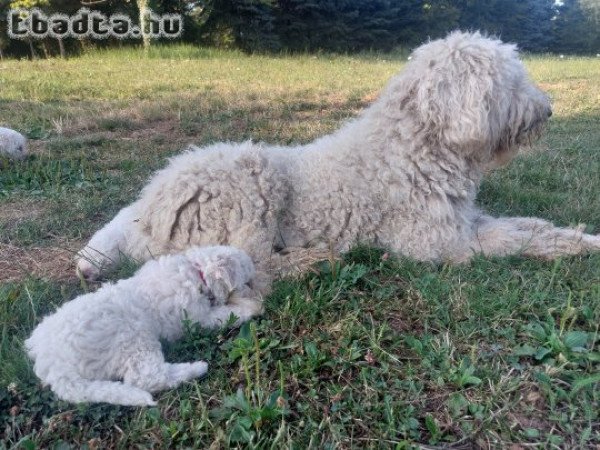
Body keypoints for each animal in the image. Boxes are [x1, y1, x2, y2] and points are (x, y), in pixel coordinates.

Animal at [26, 246, 260, 408]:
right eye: (248, 282)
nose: (259, 290)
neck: (196, 271)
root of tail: (52, 363)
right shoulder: (197, 319)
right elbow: (226, 315)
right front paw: (254, 307)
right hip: (133, 337)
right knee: (147, 377)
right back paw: (197, 368)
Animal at [77, 31, 596, 284]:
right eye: (509, 80)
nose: (548, 110)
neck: (414, 147)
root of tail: (153, 210)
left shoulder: (463, 222)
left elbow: (529, 226)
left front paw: (580, 235)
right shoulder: (435, 245)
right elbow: (515, 241)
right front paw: (575, 246)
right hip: (250, 186)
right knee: (251, 264)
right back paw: (314, 260)